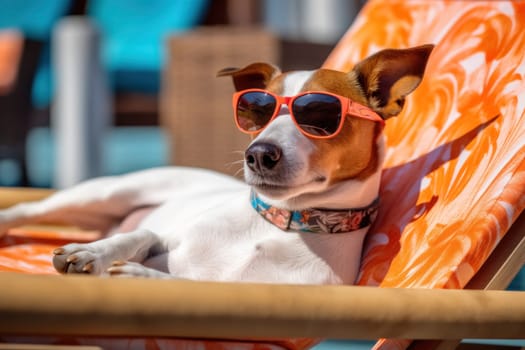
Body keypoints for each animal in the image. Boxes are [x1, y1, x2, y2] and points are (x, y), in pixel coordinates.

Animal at [0, 44, 430, 284]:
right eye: (255, 111)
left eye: (321, 115)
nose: (259, 154)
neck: (277, 225)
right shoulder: (166, 234)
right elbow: (140, 236)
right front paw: (92, 254)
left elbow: (184, 283)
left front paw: (140, 274)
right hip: (106, 192)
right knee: (31, 210)